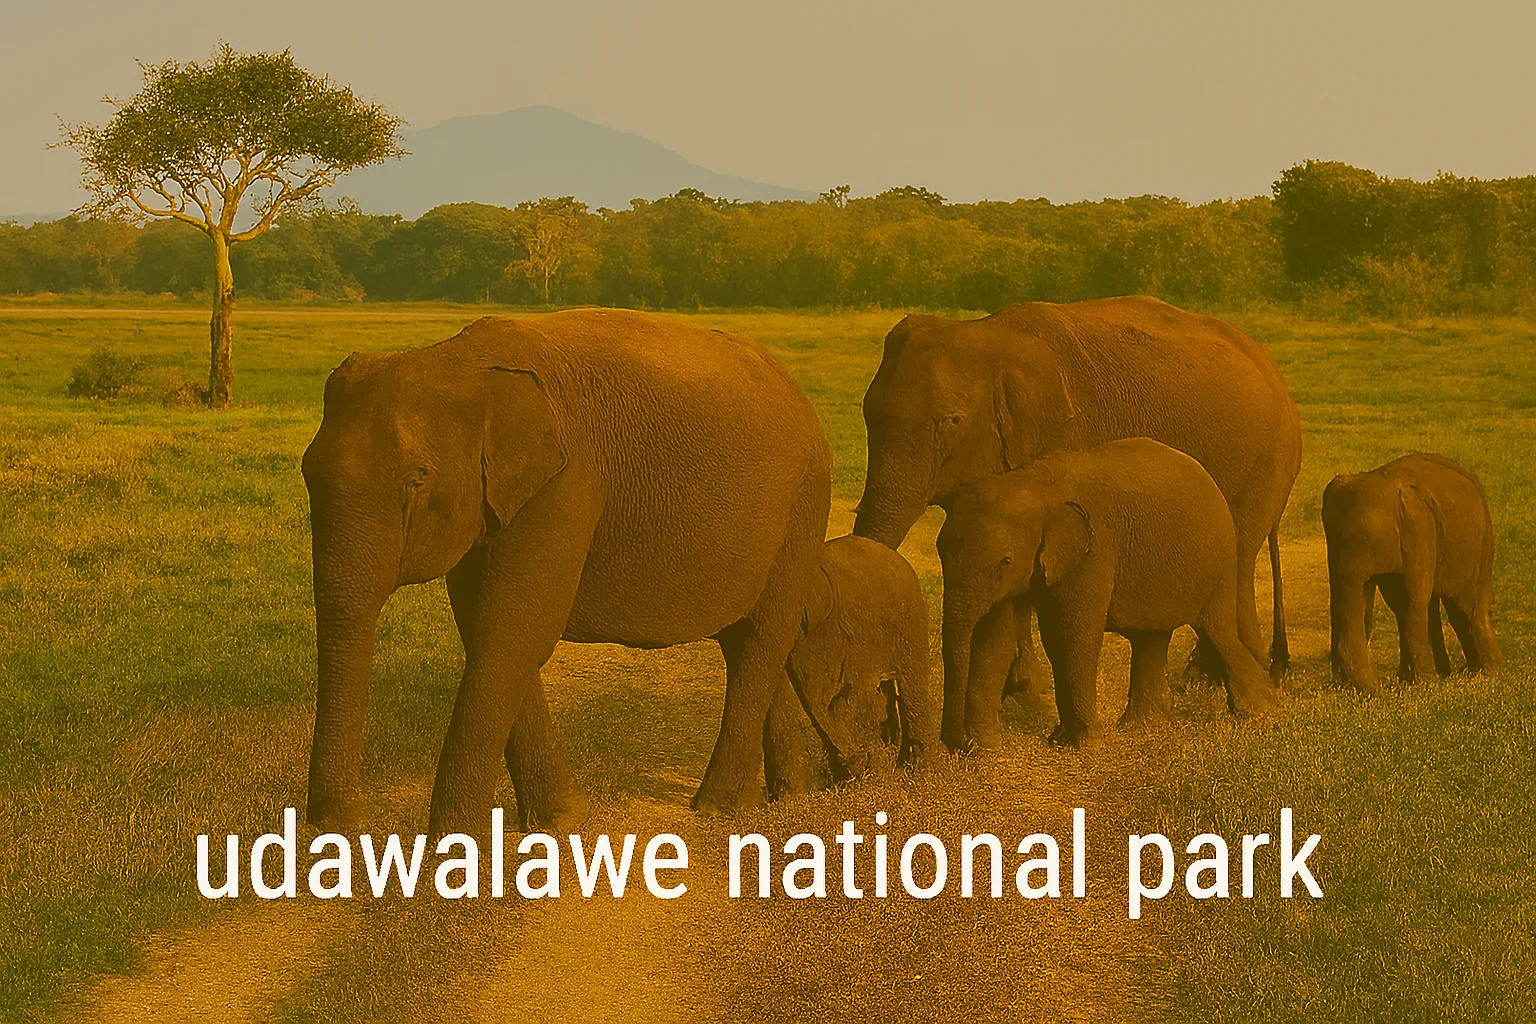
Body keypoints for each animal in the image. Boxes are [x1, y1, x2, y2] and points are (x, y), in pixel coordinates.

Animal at [300, 309, 832, 837]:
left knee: (764, 634)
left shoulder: (565, 484)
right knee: (745, 639)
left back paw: (719, 807)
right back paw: (786, 795)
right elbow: (488, 630)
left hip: (805, 505)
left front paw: (455, 843)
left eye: (417, 479)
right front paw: (562, 819)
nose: (349, 823)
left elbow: (511, 636)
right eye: (306, 473)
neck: (458, 361)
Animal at [852, 296, 1302, 696]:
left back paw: (1227, 673)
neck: (989, 334)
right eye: (867, 414)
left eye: (950, 421)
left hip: (1271, 456)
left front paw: (1027, 689)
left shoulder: (1062, 437)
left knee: (1240, 549)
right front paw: (1019, 687)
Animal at [936, 438, 1277, 751]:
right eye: (941, 552)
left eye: (1005, 560)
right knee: (1152, 640)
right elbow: (997, 640)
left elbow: (1075, 636)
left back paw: (1259, 712)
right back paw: (1144, 728)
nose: (955, 743)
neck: (1035, 483)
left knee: (1217, 629)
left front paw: (1085, 743)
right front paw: (988, 749)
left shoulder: (1095, 549)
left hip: (1219, 563)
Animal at [1321, 452, 1503, 694]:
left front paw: (1421, 683)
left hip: (1482, 544)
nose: (1374, 690)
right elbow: (1399, 600)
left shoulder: (1419, 532)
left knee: (1465, 605)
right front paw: (1415, 681)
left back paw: (1487, 672)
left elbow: (1413, 596)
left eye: (1368, 535)